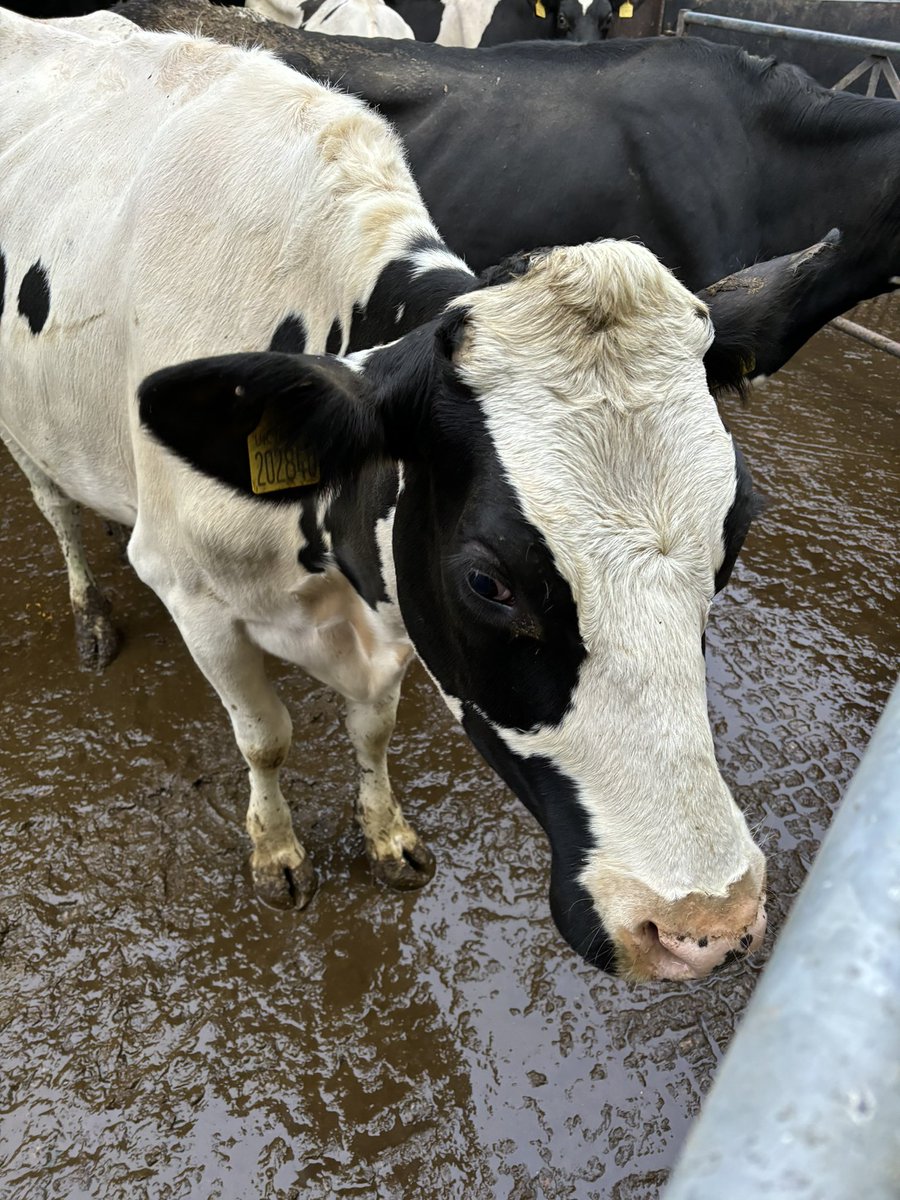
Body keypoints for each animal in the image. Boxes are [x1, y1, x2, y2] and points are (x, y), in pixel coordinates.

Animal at [0, 10, 836, 979]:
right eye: (488, 582)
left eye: (731, 544)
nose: (705, 926)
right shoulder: (192, 590)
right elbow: (264, 736)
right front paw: (277, 849)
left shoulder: (394, 612)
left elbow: (373, 730)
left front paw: (387, 835)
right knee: (55, 506)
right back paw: (90, 609)